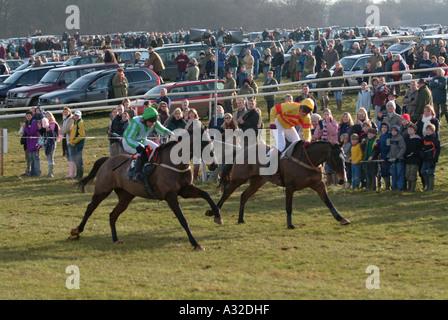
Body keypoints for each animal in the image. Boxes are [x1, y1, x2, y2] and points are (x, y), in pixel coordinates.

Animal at [70, 129, 222, 250]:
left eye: (211, 142)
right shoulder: (170, 195)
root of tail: (108, 160)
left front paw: (216, 216)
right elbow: (183, 219)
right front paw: (195, 243)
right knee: (90, 208)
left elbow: (206, 195)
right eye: (203, 143)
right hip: (102, 190)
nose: (214, 165)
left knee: (112, 215)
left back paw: (115, 239)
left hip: (126, 197)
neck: (175, 164)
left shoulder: (186, 190)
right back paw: (77, 230)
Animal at [208, 141, 352, 229]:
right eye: (335, 157)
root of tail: (242, 150)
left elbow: (328, 202)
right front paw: (290, 224)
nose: (342, 180)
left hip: (257, 181)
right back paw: (214, 213)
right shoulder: (290, 187)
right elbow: (289, 207)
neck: (307, 160)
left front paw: (341, 218)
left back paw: (240, 219)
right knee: (227, 193)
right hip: (239, 178)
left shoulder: (318, 184)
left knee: (244, 196)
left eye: (344, 156)